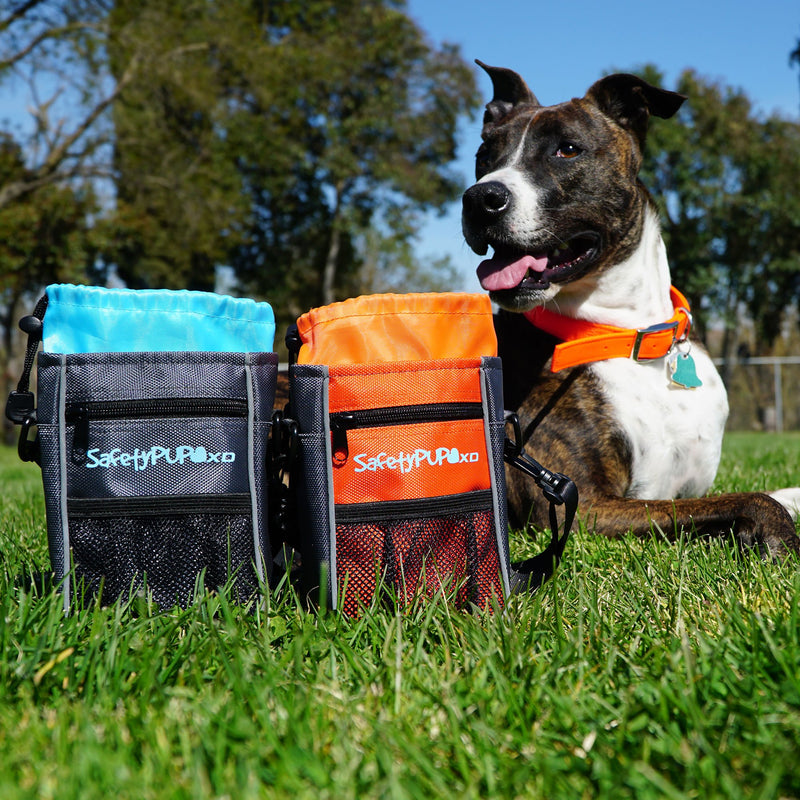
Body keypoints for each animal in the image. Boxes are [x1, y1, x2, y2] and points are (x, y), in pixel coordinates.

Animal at [462, 62, 800, 556]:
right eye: (485, 156)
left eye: (567, 149)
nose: (480, 198)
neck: (630, 335)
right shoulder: (583, 507)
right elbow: (751, 497)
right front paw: (776, 532)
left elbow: (770, 491)